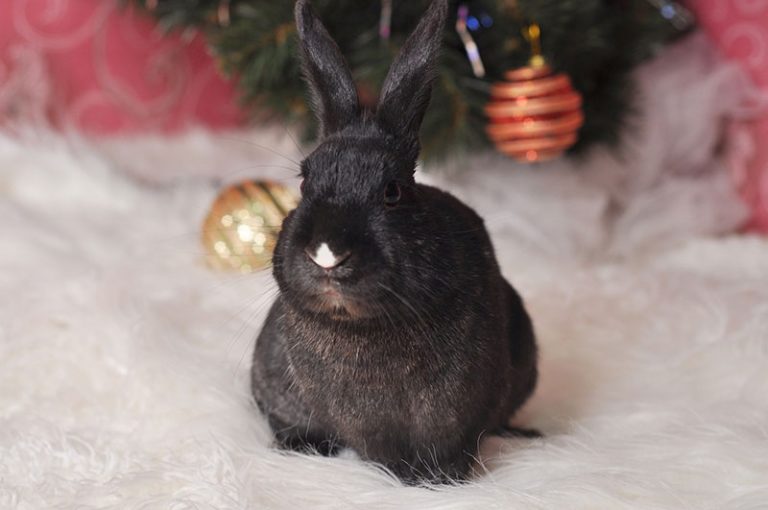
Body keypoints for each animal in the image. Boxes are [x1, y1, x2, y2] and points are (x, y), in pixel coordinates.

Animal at [251, 0, 538, 484]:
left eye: (392, 191)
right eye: (305, 182)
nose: (327, 255)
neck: (361, 326)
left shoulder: (458, 413)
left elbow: (453, 447)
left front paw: (438, 481)